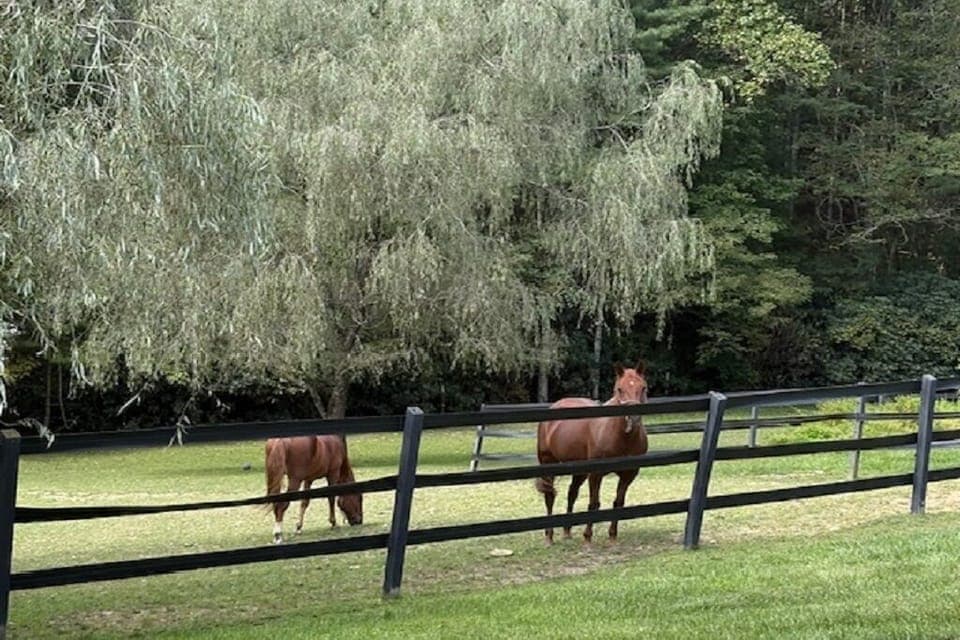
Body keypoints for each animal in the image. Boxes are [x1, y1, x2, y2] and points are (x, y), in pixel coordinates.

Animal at [535, 362, 649, 544]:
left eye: (643, 387)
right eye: (619, 389)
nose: (633, 419)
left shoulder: (628, 474)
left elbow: (619, 502)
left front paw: (612, 535)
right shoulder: (596, 474)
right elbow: (594, 504)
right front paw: (588, 536)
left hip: (579, 470)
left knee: (572, 493)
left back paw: (567, 531)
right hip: (548, 463)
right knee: (550, 496)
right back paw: (549, 536)